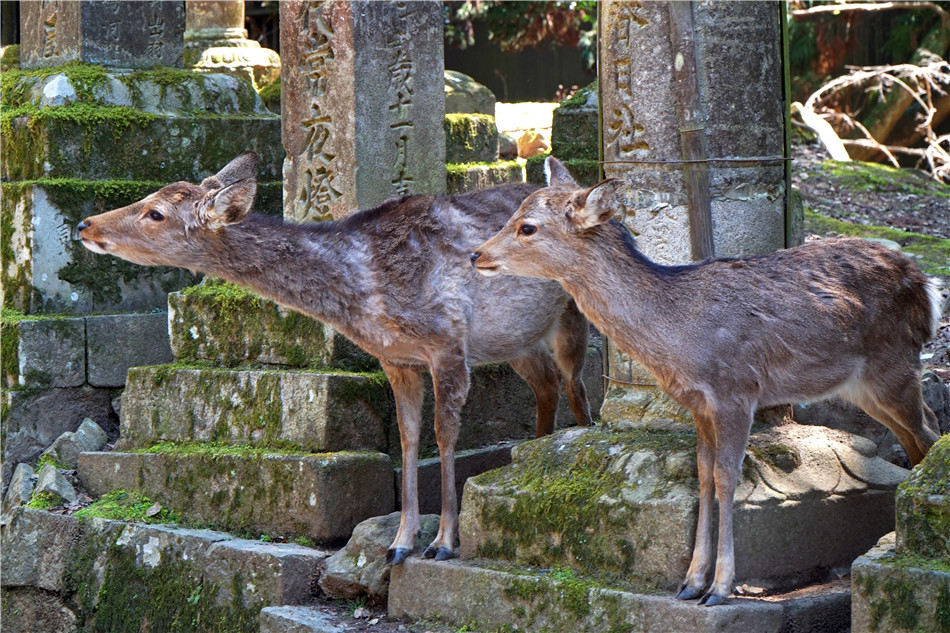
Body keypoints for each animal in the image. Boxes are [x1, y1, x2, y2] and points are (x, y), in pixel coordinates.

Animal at [78, 152, 592, 564]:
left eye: (156, 213)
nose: (85, 224)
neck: (365, 293)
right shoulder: (396, 358)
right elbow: (407, 437)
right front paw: (401, 542)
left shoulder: (449, 341)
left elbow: (445, 435)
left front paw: (445, 542)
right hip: (517, 340)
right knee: (547, 385)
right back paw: (531, 453)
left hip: (572, 317)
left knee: (576, 385)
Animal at [476, 156, 944, 604]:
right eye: (514, 213)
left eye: (527, 226)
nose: (476, 255)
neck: (677, 337)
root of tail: (928, 286)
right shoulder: (697, 403)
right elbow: (701, 476)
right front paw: (690, 582)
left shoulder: (735, 390)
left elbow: (727, 477)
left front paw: (720, 588)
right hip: (863, 385)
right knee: (920, 431)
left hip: (893, 363)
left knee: (928, 431)